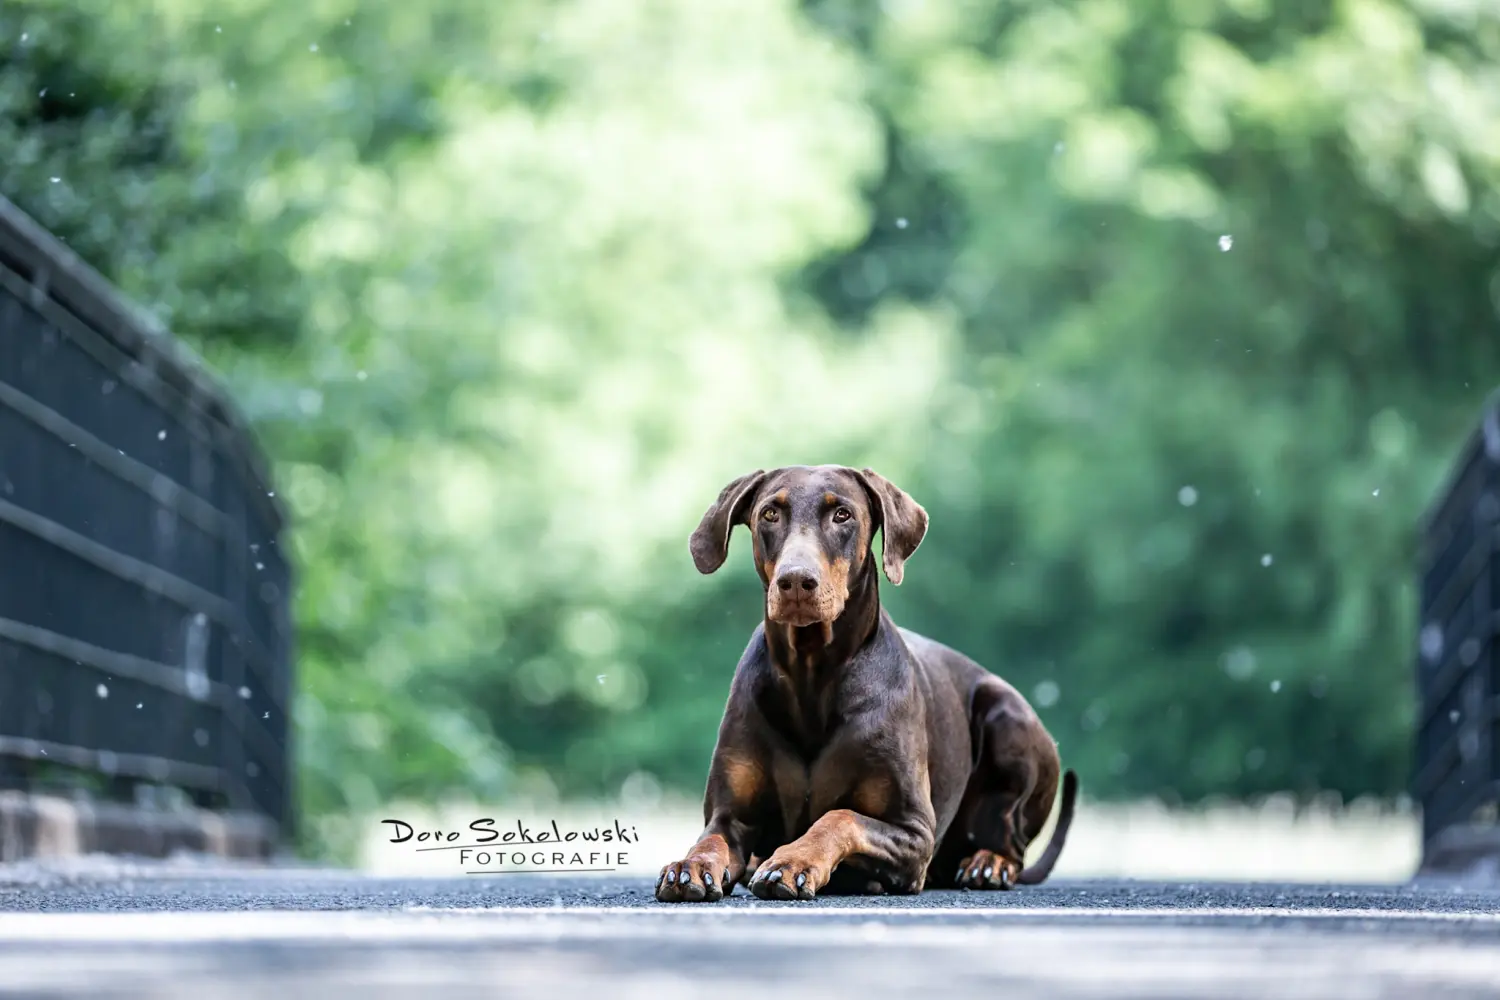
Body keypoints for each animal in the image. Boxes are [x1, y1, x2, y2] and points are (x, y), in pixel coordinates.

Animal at [657, 464, 1080, 905]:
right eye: (769, 514)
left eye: (842, 515)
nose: (796, 581)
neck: (812, 675)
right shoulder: (729, 815)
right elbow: (711, 840)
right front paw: (691, 866)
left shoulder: (913, 830)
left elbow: (839, 817)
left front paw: (792, 861)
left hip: (1007, 718)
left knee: (1011, 841)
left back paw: (988, 864)